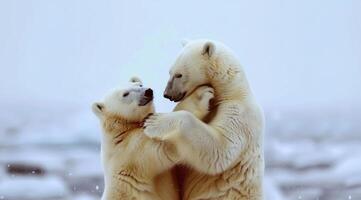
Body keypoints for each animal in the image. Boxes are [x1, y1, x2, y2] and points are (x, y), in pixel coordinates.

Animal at [143, 39, 264, 200]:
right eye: (170, 72)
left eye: (179, 74)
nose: (167, 94)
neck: (231, 91)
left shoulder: (240, 115)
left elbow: (220, 150)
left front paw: (154, 122)